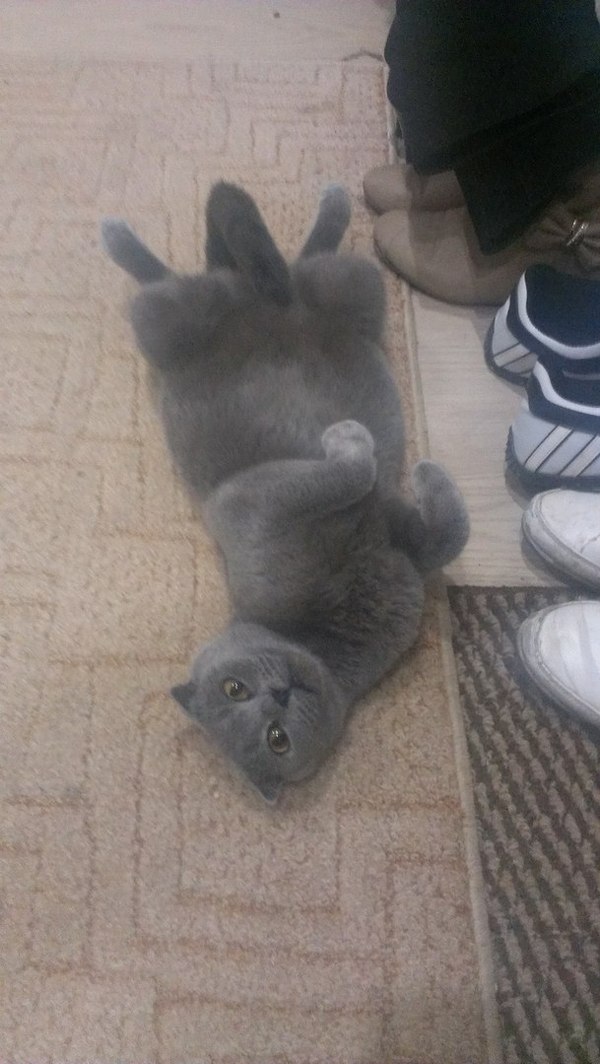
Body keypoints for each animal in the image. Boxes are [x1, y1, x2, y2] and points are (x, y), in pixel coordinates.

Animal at [101, 181, 469, 803]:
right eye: (276, 740)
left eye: (234, 687)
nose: (278, 696)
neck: (329, 633)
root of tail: (257, 302)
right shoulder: (261, 507)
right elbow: (377, 490)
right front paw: (375, 449)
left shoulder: (379, 531)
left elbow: (443, 532)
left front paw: (413, 469)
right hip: (179, 323)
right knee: (199, 275)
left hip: (347, 293)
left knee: (261, 262)